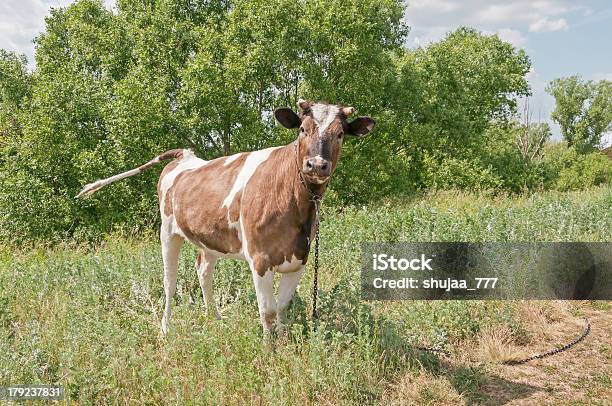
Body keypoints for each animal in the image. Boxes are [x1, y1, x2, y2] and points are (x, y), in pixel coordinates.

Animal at [76, 100, 372, 334]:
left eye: (340, 134)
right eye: (302, 129)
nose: (316, 165)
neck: (295, 201)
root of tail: (186, 156)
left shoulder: (299, 260)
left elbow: (282, 312)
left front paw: (284, 345)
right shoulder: (260, 260)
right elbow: (268, 313)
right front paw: (270, 355)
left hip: (209, 239)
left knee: (203, 270)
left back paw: (214, 319)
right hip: (167, 231)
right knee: (169, 282)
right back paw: (165, 329)